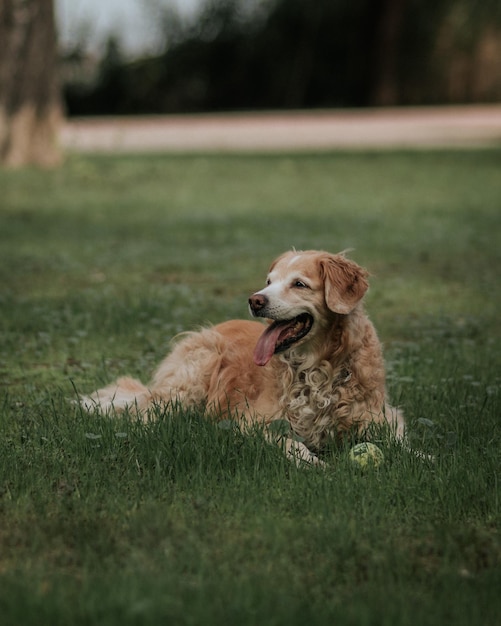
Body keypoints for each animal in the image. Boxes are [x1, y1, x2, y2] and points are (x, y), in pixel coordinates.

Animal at [81, 250, 402, 464]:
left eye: (299, 284)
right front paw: (316, 463)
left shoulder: (383, 418)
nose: (255, 300)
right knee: (150, 414)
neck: (317, 369)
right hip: (195, 373)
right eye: (269, 281)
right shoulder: (252, 423)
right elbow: (291, 444)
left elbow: (402, 445)